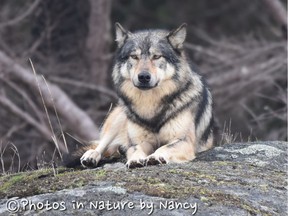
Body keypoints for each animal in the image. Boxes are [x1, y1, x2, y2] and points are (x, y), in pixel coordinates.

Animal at [64, 23, 214, 169]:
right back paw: (91, 156)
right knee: (101, 144)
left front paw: (155, 157)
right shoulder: (140, 141)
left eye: (156, 56)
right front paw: (135, 160)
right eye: (134, 56)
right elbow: (136, 149)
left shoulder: (184, 141)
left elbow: (164, 147)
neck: (150, 105)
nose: (143, 77)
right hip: (119, 119)